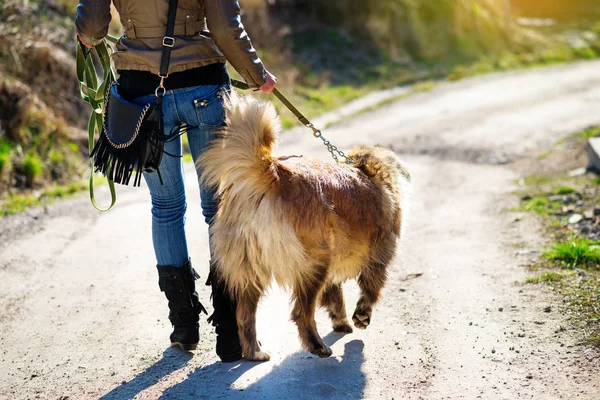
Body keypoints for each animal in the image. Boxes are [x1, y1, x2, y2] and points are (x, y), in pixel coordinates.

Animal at [199, 92, 410, 360]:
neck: (367, 172)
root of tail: (276, 173)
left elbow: (336, 296)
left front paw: (341, 321)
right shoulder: (380, 253)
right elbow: (372, 286)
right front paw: (362, 315)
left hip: (250, 268)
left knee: (245, 315)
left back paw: (254, 352)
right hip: (314, 263)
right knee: (301, 312)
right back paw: (317, 346)